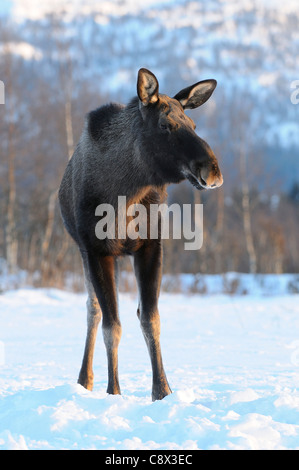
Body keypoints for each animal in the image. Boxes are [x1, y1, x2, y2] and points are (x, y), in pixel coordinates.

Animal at [58, 68, 223, 402]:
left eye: (194, 125)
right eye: (165, 125)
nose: (212, 170)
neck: (125, 195)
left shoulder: (150, 246)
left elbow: (150, 319)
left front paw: (162, 390)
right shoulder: (96, 250)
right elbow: (112, 326)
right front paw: (114, 392)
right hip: (83, 251)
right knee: (93, 310)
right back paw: (85, 379)